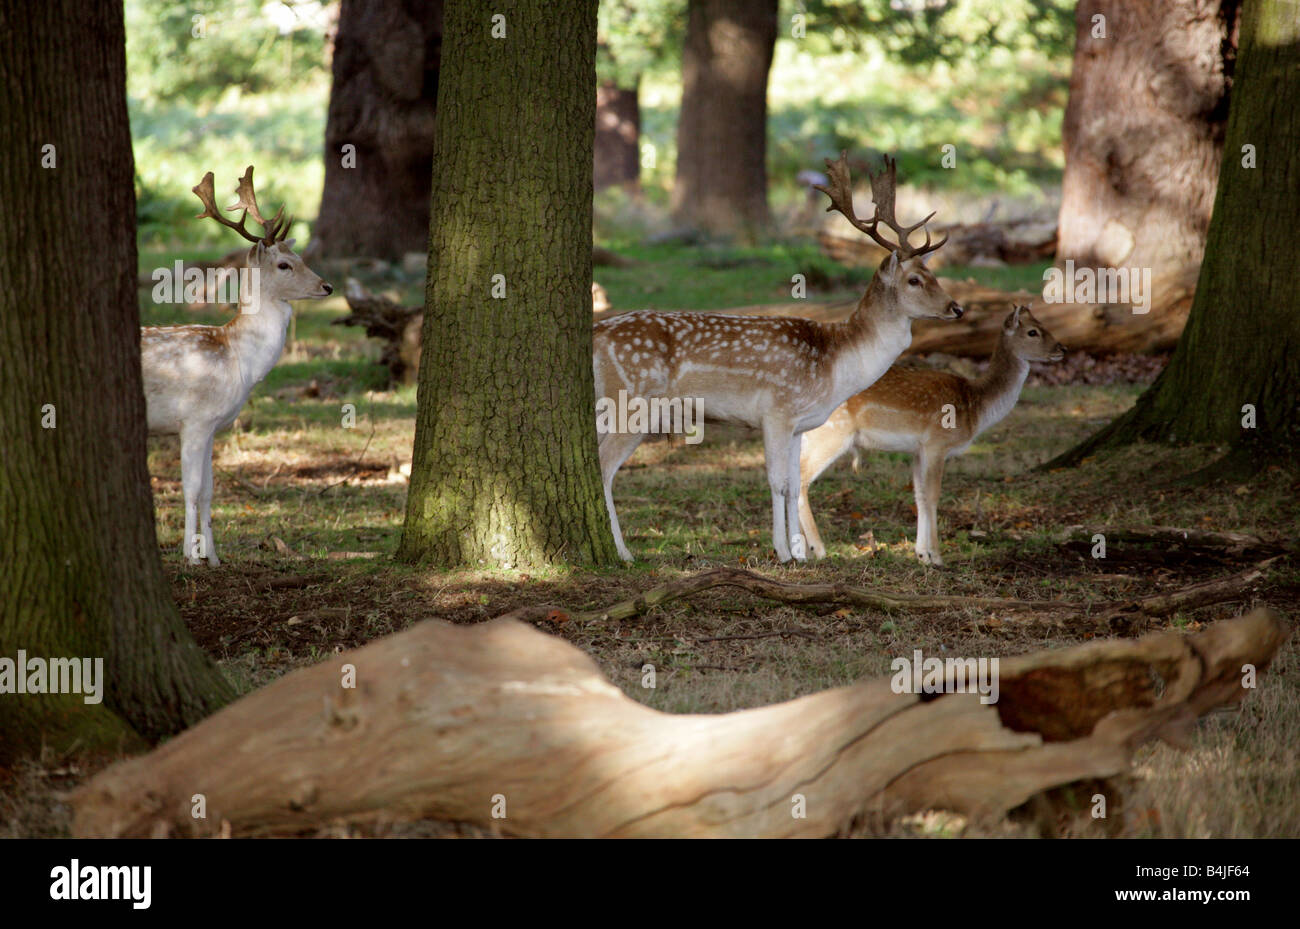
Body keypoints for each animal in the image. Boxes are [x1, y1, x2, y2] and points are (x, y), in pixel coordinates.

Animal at [141, 170, 332, 571]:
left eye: (299, 256)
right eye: (284, 265)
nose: (327, 286)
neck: (237, 358)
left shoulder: (214, 425)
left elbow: (211, 491)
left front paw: (213, 557)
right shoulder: (194, 419)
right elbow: (192, 488)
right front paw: (190, 557)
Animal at [595, 154, 961, 558]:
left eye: (933, 273)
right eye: (914, 279)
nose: (957, 308)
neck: (836, 366)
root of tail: (597, 333)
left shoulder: (800, 424)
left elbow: (793, 481)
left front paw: (800, 554)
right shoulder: (777, 411)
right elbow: (778, 482)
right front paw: (783, 553)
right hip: (632, 400)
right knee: (604, 466)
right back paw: (623, 554)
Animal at [800, 305, 1066, 566]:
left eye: (1043, 324)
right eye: (1033, 332)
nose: (1062, 349)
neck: (976, 405)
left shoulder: (918, 450)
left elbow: (919, 496)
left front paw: (922, 555)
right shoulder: (938, 443)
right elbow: (933, 495)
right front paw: (936, 557)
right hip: (832, 434)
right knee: (801, 477)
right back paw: (817, 549)